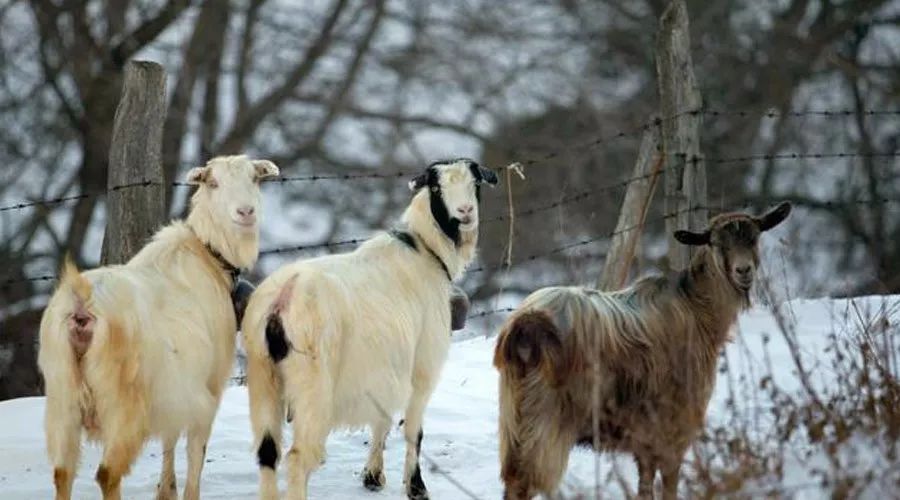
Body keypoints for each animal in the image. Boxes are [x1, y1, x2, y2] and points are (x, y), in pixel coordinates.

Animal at [37, 154, 278, 498]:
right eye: (213, 182)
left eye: (255, 179)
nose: (246, 212)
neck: (208, 256)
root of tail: (82, 305)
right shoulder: (208, 388)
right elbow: (195, 453)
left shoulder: (174, 390)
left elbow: (170, 438)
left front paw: (166, 489)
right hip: (122, 406)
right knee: (107, 474)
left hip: (62, 399)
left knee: (62, 473)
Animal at [243, 158, 496, 498]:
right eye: (436, 187)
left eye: (475, 182)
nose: (465, 212)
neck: (425, 250)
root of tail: (282, 301)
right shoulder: (422, 366)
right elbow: (413, 431)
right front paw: (416, 486)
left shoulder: (385, 369)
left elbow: (382, 420)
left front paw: (373, 476)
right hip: (313, 387)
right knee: (297, 458)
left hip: (263, 378)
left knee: (268, 453)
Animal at [496, 203, 792, 500]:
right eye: (717, 243)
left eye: (754, 238)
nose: (744, 271)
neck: (696, 307)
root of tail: (527, 324)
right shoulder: (674, 427)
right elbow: (669, 484)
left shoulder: (645, 437)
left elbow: (645, 484)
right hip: (545, 422)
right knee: (523, 484)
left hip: (515, 422)